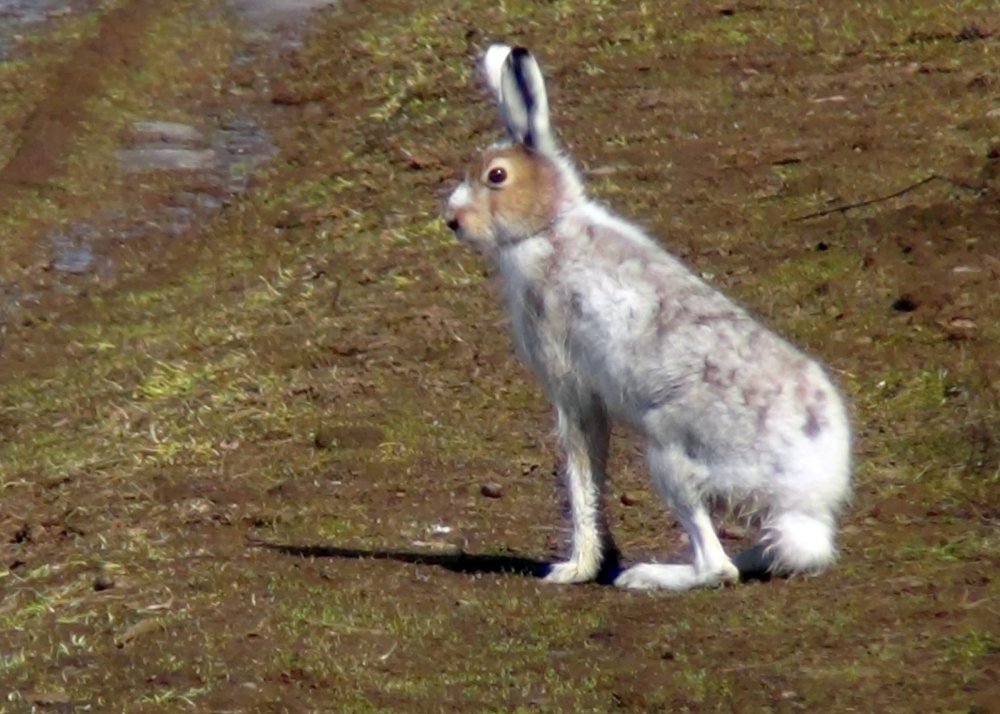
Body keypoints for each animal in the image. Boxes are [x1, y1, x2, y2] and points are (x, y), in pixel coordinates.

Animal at [443, 45, 851, 591]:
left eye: (496, 176)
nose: (453, 220)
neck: (547, 228)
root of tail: (808, 498)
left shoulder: (571, 386)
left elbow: (580, 474)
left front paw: (574, 569)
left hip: (672, 455)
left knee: (716, 567)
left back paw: (645, 575)